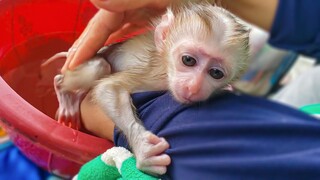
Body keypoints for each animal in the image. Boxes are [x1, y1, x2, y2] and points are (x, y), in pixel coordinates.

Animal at [50, 1, 250, 176]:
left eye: (216, 73)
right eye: (188, 60)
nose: (193, 87)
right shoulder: (155, 75)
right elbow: (108, 88)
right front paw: (144, 148)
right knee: (98, 67)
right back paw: (64, 93)